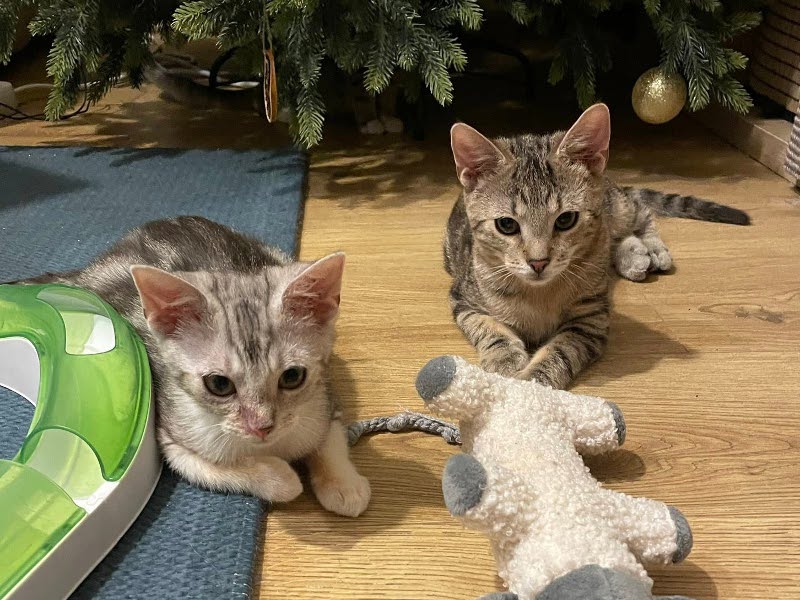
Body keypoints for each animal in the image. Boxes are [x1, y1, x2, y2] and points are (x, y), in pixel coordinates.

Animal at [17, 216, 370, 517]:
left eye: (293, 376)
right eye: (219, 385)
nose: (261, 427)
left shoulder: (324, 398)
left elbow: (331, 438)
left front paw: (343, 484)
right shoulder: (173, 439)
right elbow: (222, 469)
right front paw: (279, 476)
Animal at [444, 103, 750, 390]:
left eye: (565, 219)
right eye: (506, 225)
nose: (538, 262)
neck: (539, 295)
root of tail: (610, 180)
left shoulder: (591, 320)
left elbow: (561, 351)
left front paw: (533, 384)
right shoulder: (464, 299)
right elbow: (490, 329)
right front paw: (504, 362)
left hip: (618, 209)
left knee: (640, 213)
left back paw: (652, 249)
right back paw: (635, 257)